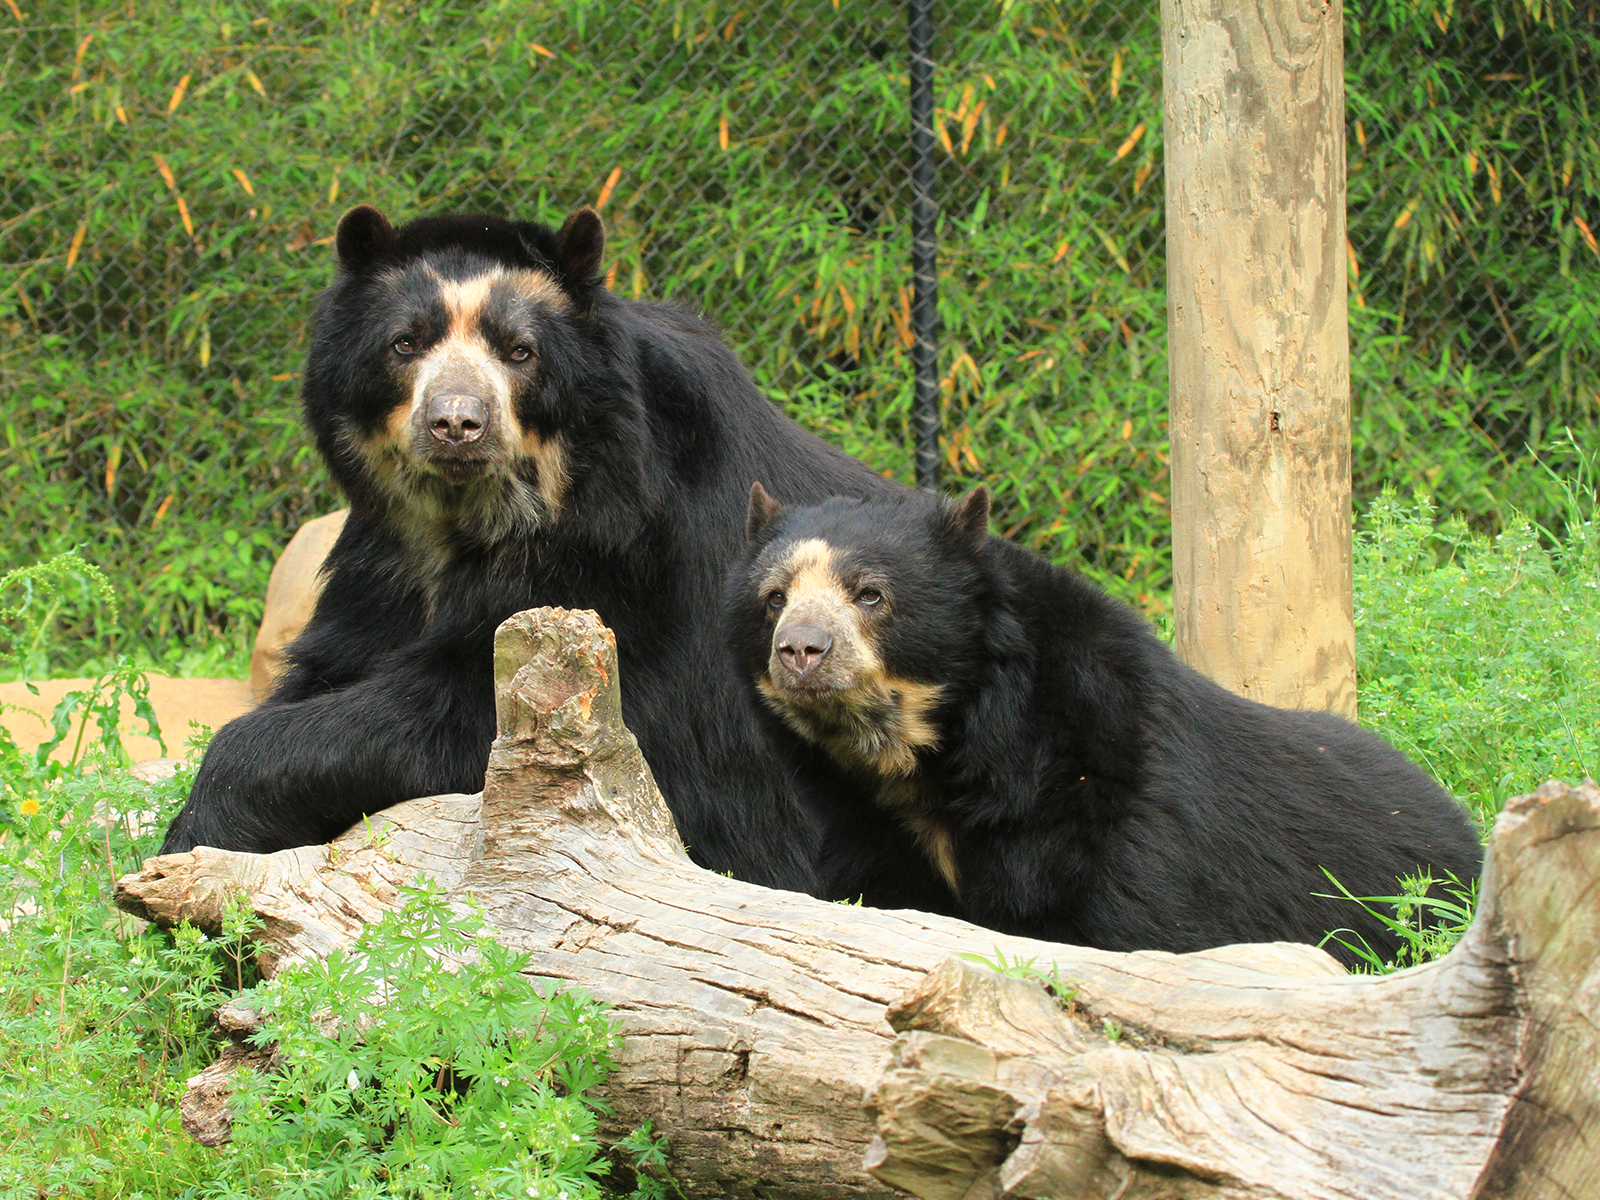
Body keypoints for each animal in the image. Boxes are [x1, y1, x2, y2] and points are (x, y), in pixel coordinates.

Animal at [159, 204, 903, 892]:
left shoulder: (628, 574)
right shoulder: (382, 557)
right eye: (405, 343)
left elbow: (466, 707)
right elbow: (331, 661)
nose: (457, 423)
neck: (473, 518)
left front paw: (192, 833)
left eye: (520, 351)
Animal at [725, 483, 1484, 965]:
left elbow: (1138, 929)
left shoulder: (1110, 809)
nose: (801, 650)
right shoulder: (866, 822)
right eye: (774, 598)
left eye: (871, 595)